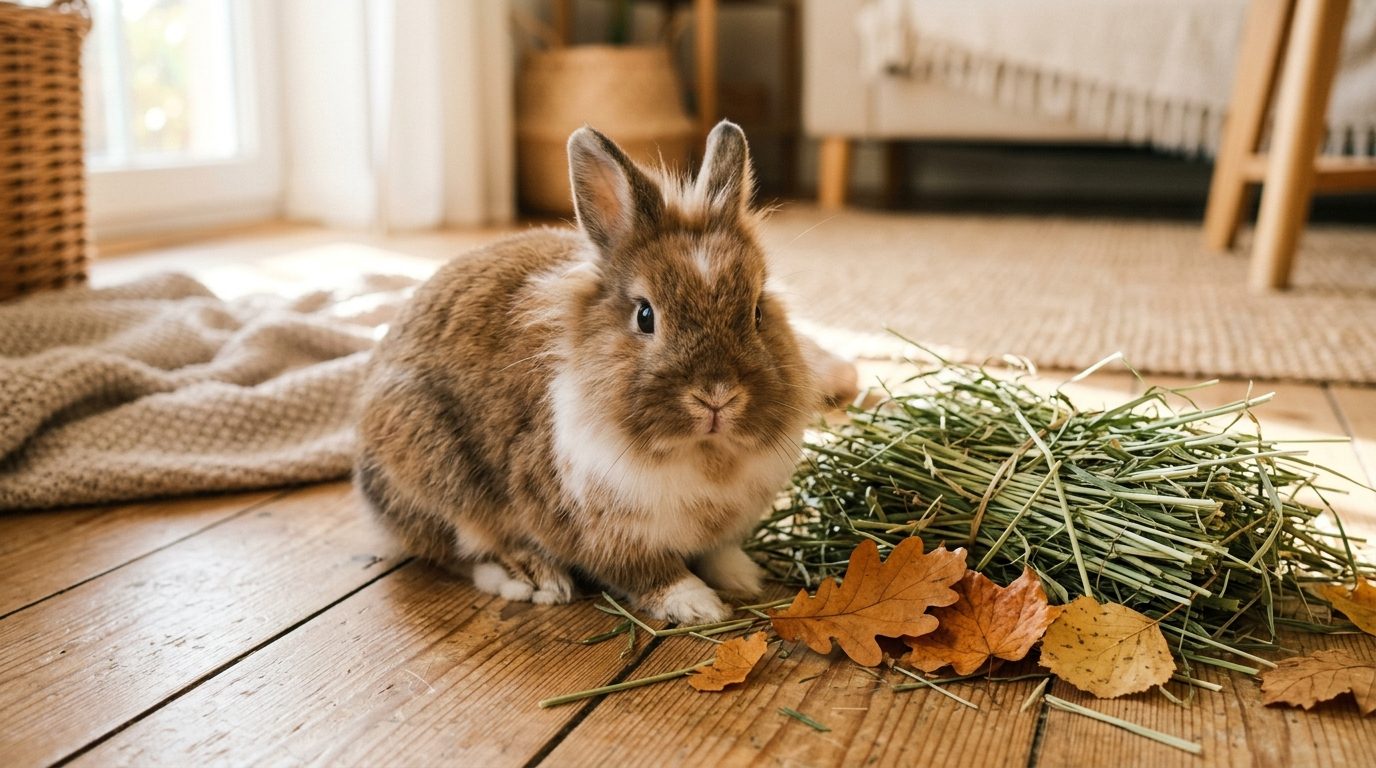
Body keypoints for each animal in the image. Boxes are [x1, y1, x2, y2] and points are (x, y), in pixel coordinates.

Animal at [356, 120, 851, 625]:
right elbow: (645, 572)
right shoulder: (598, 530)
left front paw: (744, 576)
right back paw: (533, 578)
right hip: (436, 475)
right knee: (457, 548)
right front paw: (698, 605)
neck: (705, 453)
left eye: (756, 313)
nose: (717, 396)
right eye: (645, 316)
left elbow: (719, 551)